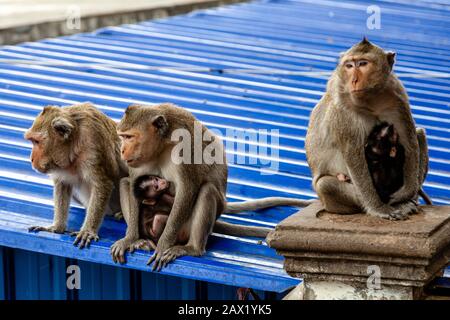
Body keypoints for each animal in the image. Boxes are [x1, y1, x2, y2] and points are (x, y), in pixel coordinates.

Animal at [24, 102, 127, 248]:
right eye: (32, 141)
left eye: (37, 141)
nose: (32, 159)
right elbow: (62, 185)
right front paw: (56, 227)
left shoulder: (92, 144)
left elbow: (103, 185)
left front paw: (87, 231)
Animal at [110, 104, 312, 268]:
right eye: (122, 137)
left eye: (129, 137)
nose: (122, 150)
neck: (161, 145)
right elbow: (133, 184)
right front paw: (130, 239)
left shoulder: (183, 150)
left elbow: (187, 190)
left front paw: (163, 245)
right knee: (125, 183)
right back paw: (141, 240)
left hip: (185, 229)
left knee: (207, 190)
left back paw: (193, 248)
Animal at [306, 37, 428, 220]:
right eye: (349, 65)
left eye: (363, 64)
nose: (354, 80)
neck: (371, 101)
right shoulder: (344, 113)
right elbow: (354, 156)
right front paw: (379, 208)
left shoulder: (397, 99)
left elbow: (410, 143)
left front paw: (404, 196)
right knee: (325, 184)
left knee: (420, 134)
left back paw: (407, 201)